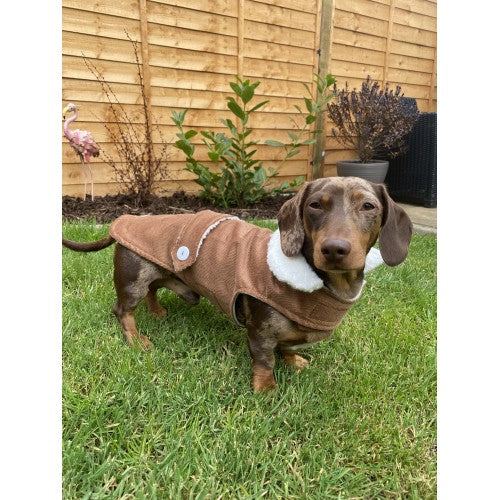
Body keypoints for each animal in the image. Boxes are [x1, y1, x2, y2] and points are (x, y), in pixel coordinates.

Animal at [62, 178, 412, 392]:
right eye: (315, 205)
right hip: (132, 277)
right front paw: (266, 390)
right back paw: (136, 340)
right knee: (123, 310)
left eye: (368, 206)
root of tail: (125, 221)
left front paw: (293, 362)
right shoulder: (260, 331)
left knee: (153, 290)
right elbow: (265, 360)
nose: (335, 249)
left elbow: (287, 347)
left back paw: (158, 312)